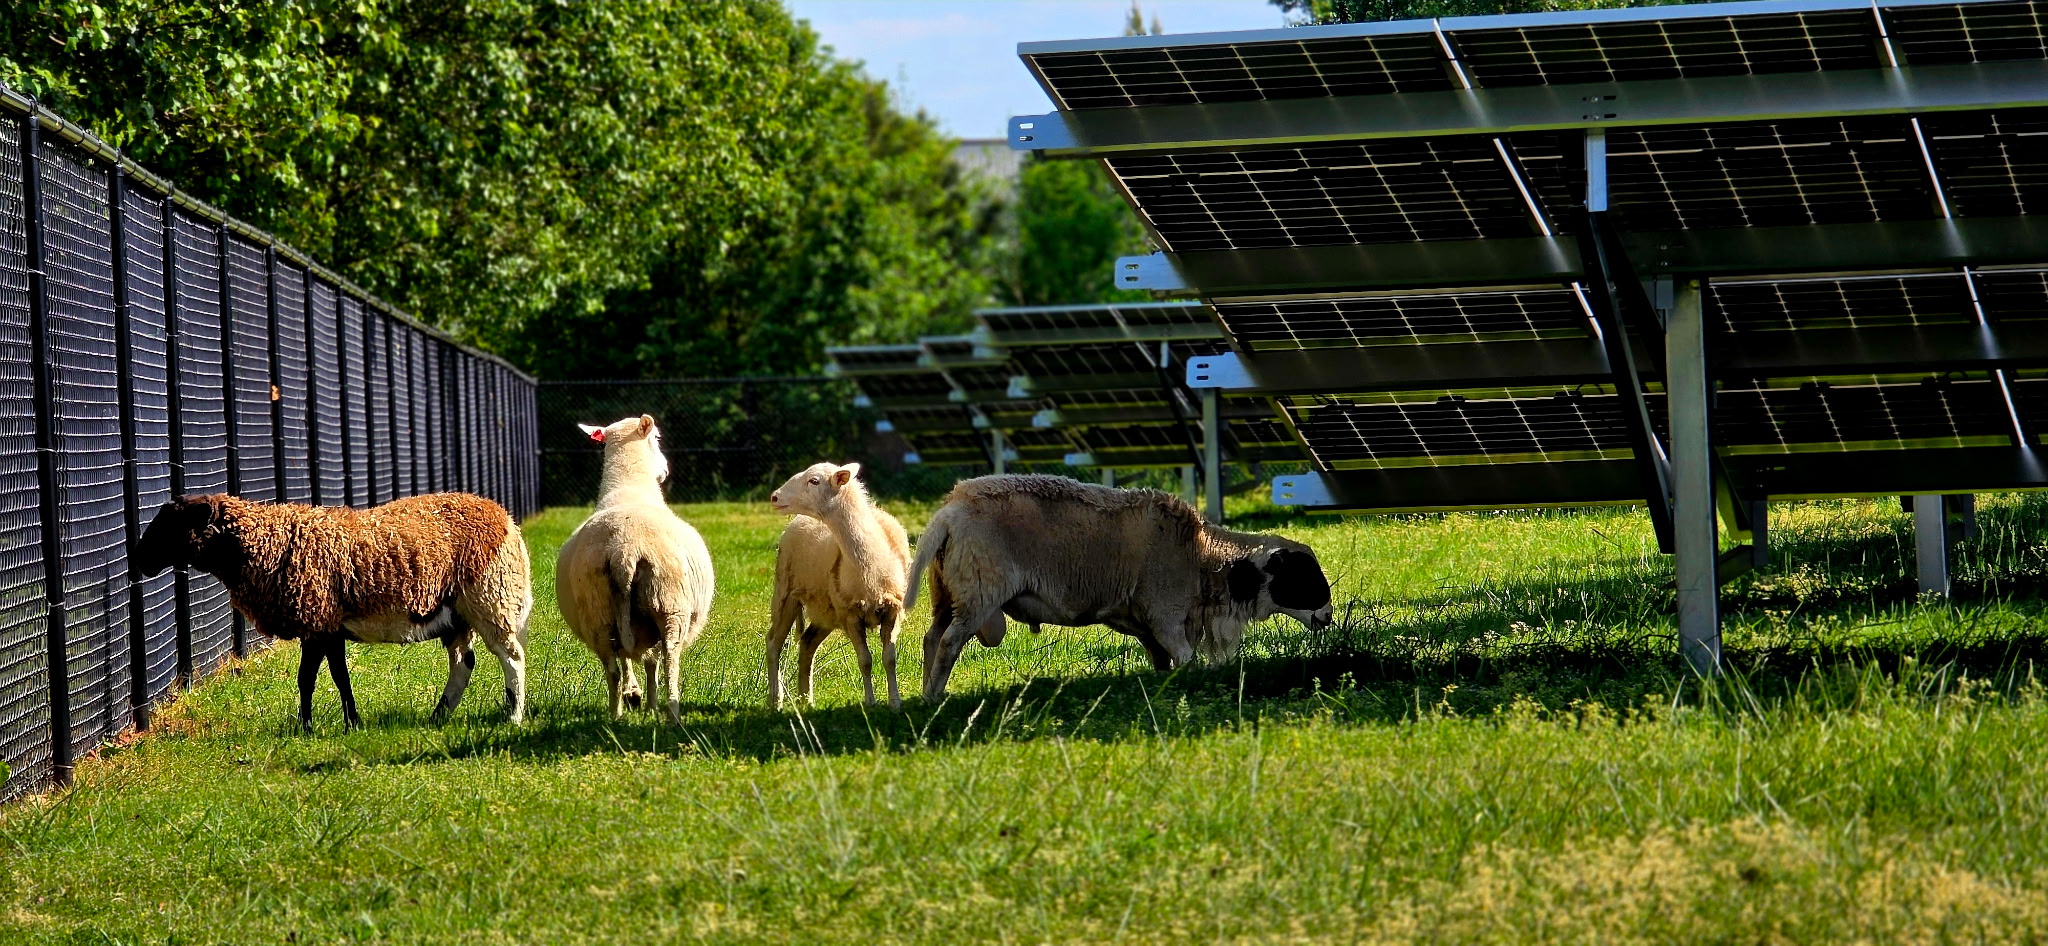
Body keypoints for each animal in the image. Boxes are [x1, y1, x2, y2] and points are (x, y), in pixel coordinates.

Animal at [133, 492, 532, 728]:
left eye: (173, 524)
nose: (140, 560)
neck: (270, 541)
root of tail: (506, 521)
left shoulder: (318, 621)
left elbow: (313, 679)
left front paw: (313, 728)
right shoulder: (327, 625)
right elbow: (332, 677)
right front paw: (346, 723)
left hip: (490, 597)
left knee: (511, 657)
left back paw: (513, 715)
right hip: (460, 614)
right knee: (464, 662)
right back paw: (438, 716)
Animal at [555, 414, 714, 723]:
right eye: (658, 438)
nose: (665, 470)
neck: (628, 489)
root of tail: (623, 551)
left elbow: (637, 660)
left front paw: (637, 697)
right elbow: (654, 661)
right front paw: (649, 703)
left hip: (598, 615)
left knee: (612, 668)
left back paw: (616, 713)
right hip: (670, 605)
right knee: (670, 660)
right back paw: (673, 712)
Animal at [765, 461, 913, 710]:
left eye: (814, 481)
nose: (775, 497)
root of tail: (796, 521)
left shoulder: (893, 610)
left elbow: (889, 659)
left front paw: (895, 702)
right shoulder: (851, 614)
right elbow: (865, 661)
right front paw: (870, 703)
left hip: (826, 610)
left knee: (807, 644)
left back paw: (806, 700)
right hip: (785, 592)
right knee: (774, 643)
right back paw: (776, 700)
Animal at [908, 474, 1335, 702]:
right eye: (1303, 577)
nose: (1329, 617)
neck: (1201, 559)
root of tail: (950, 510)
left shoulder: (1147, 625)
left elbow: (1163, 662)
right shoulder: (1164, 615)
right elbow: (1186, 660)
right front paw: (1189, 684)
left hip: (947, 592)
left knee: (932, 638)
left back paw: (922, 700)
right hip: (979, 592)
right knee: (949, 643)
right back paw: (935, 695)